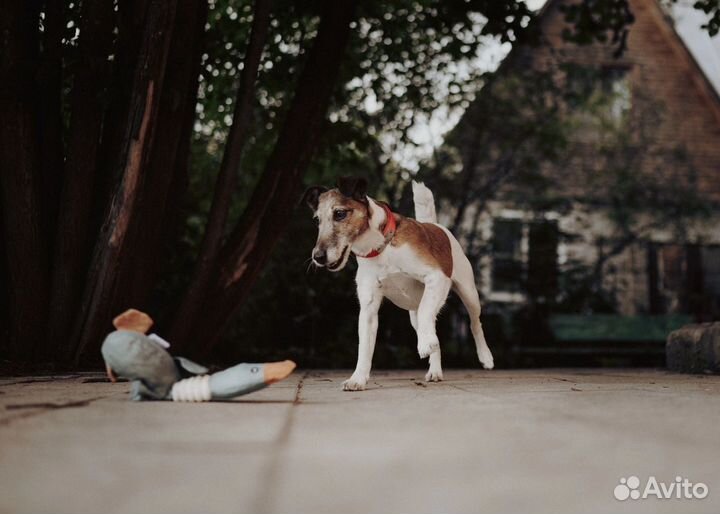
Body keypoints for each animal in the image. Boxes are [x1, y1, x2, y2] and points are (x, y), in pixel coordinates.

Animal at [300, 176, 492, 388]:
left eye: (340, 214)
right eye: (317, 220)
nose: (317, 257)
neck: (380, 248)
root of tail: (433, 225)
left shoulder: (436, 277)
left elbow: (427, 311)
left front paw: (425, 344)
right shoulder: (368, 308)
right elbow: (364, 347)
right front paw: (357, 378)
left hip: (468, 293)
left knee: (474, 323)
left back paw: (485, 357)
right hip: (415, 315)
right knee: (431, 330)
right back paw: (434, 369)